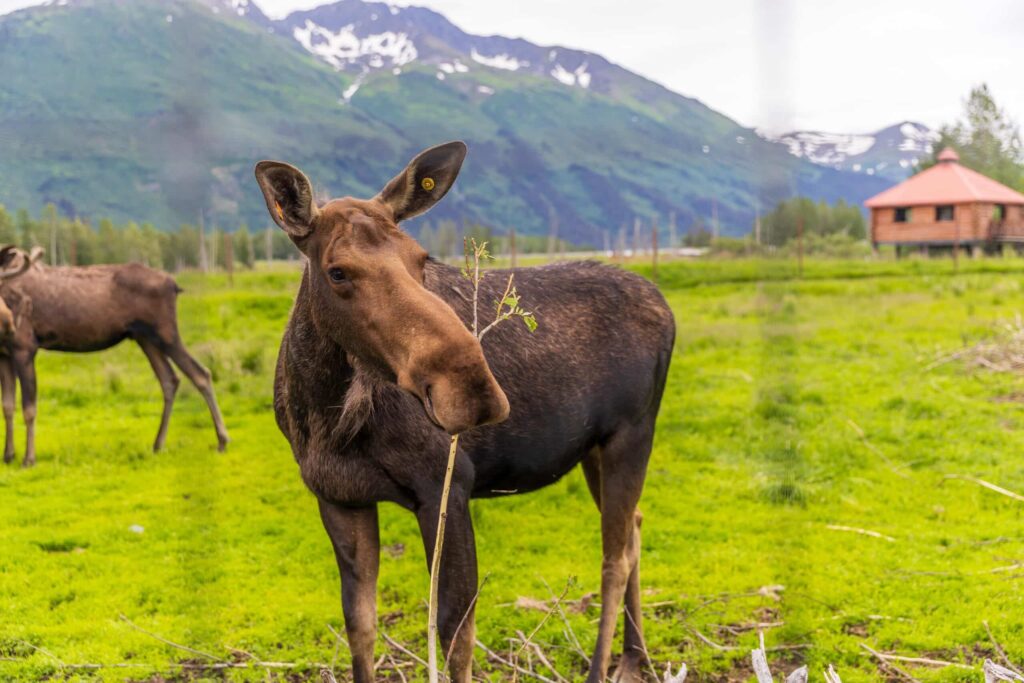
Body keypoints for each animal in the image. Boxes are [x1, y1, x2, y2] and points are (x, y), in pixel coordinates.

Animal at [0, 246, 229, 467]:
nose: (10, 323)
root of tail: (174, 285)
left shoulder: (25, 348)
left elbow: (29, 408)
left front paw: (29, 458)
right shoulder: (4, 355)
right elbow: (8, 406)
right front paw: (8, 455)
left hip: (165, 332)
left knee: (201, 373)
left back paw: (222, 440)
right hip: (144, 337)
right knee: (170, 379)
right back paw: (158, 444)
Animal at [255, 141, 675, 683]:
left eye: (421, 259)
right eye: (338, 270)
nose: (474, 387)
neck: (327, 419)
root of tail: (666, 307)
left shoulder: (446, 486)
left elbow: (456, 636)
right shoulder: (338, 497)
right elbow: (360, 627)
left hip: (632, 433)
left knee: (615, 556)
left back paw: (605, 664)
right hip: (594, 449)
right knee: (636, 528)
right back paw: (634, 655)